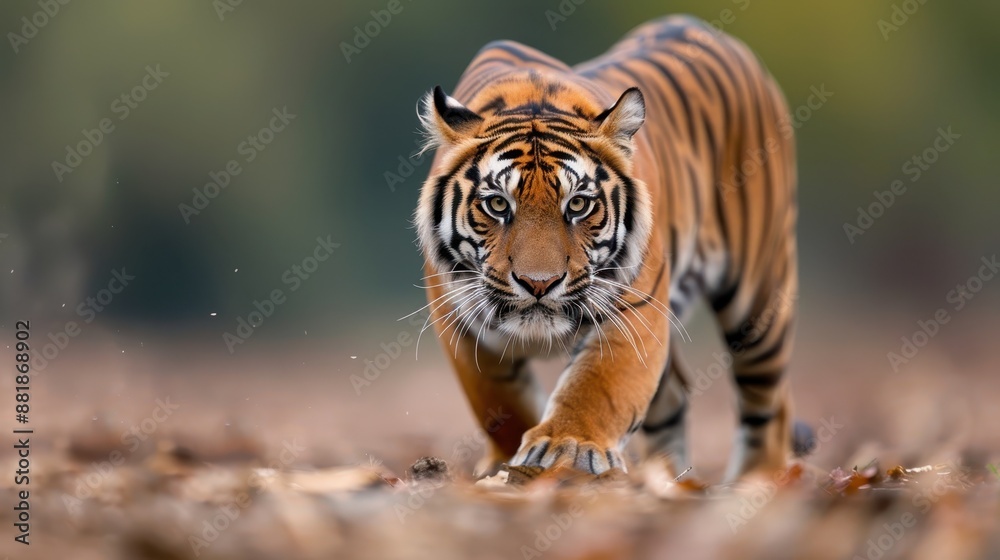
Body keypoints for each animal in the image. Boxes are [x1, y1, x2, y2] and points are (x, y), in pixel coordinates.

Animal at [413, 14, 805, 480]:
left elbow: (599, 385)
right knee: (673, 396)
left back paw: (754, 482)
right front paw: (509, 467)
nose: (539, 284)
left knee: (769, 406)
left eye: (578, 204)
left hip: (758, 298)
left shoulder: (634, 310)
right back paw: (664, 478)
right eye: (497, 204)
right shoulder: (458, 322)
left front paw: (564, 447)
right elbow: (499, 404)